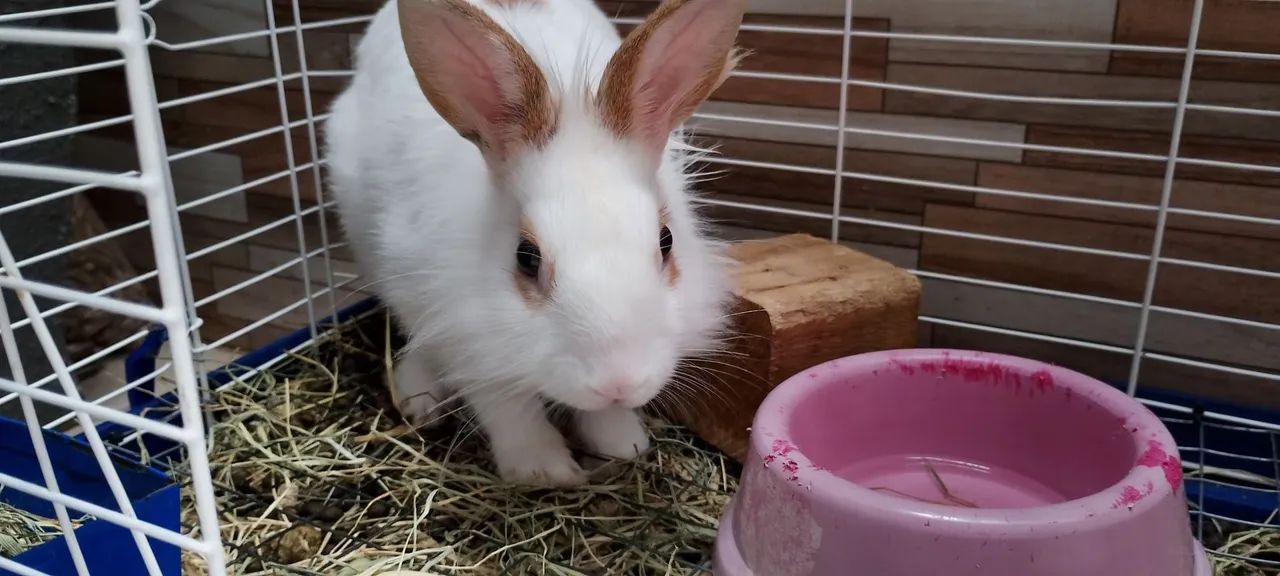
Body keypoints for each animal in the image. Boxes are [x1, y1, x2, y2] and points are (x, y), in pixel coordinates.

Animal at [324, 0, 745, 486]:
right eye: (526, 257)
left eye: (666, 241)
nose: (618, 382)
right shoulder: (467, 333)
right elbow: (508, 406)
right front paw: (544, 471)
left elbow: (601, 416)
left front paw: (623, 444)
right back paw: (420, 397)